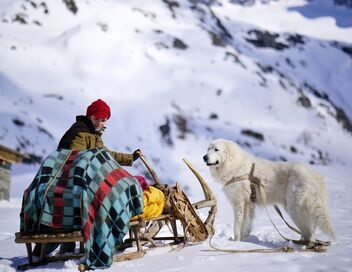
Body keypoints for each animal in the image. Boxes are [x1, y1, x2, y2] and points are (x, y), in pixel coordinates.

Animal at [202, 138, 334, 242]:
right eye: (208, 149)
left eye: (216, 149)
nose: (204, 157)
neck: (234, 166)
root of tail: (317, 178)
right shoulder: (249, 205)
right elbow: (246, 224)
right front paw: (244, 240)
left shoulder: (239, 203)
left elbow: (237, 225)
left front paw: (236, 242)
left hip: (295, 209)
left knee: (309, 235)